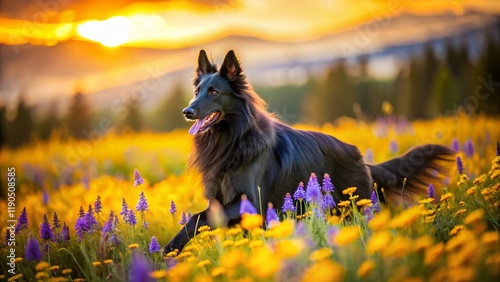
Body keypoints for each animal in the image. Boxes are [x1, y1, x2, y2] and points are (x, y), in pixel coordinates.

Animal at [163, 50, 454, 251]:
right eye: (197, 91)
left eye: (213, 91)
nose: (187, 111)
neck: (231, 138)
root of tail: (360, 158)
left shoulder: (248, 201)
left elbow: (196, 218)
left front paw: (168, 250)